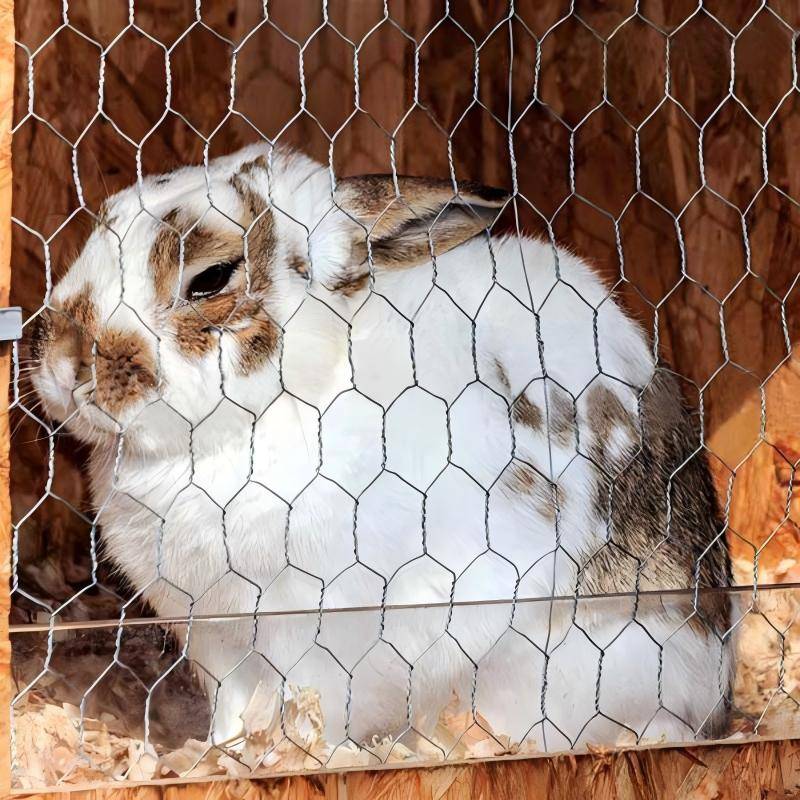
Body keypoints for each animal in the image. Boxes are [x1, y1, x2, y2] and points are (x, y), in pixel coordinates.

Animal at [31, 142, 733, 758]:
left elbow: (310, 705)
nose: (66, 362)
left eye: (209, 277)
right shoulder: (219, 642)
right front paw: (221, 754)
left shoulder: (322, 636)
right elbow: (233, 712)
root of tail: (716, 681)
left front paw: (291, 754)